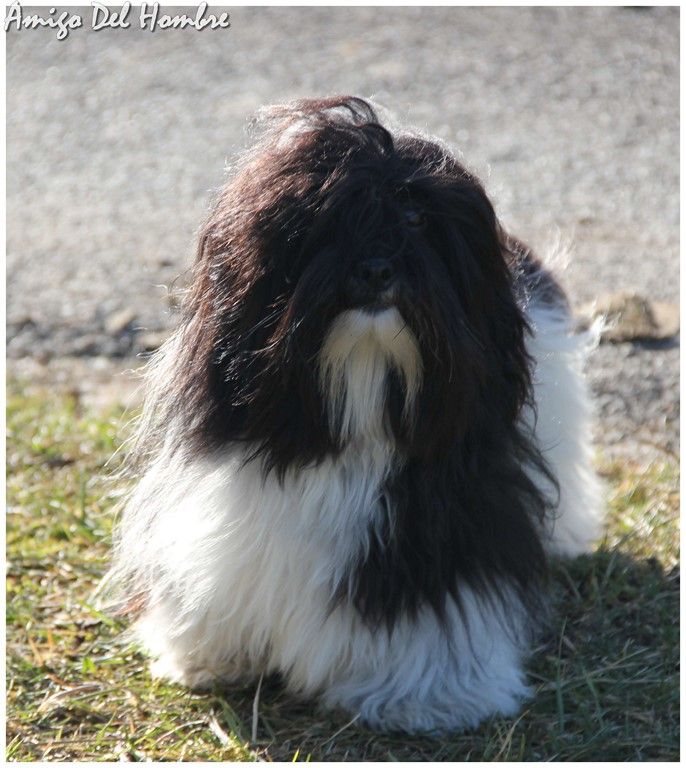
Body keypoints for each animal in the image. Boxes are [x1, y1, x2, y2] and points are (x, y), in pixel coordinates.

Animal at [105, 96, 604, 732]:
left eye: (415, 219)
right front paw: (212, 653)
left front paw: (426, 692)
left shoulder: (444, 508)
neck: (361, 394)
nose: (375, 269)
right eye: (327, 220)